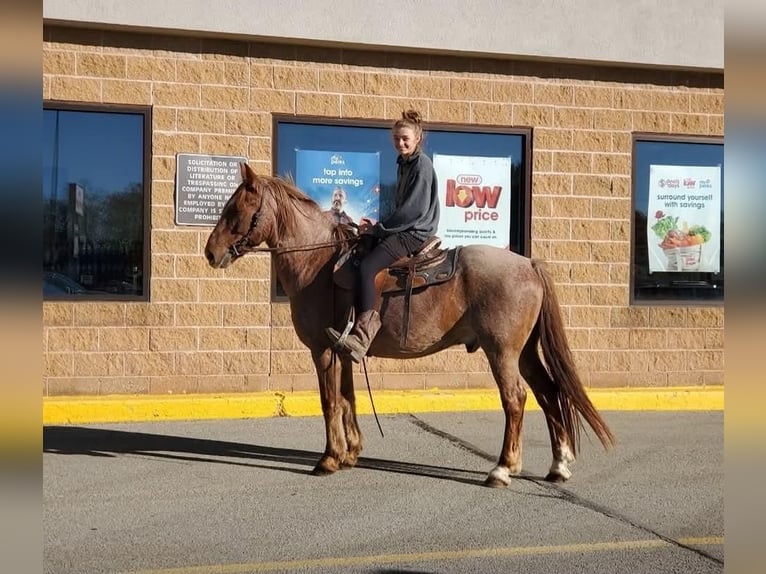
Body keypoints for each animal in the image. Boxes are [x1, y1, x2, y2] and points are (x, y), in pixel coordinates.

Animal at [206, 163, 616, 490]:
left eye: (236, 209)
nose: (211, 252)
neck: (318, 263)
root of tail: (529, 264)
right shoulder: (342, 349)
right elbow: (348, 399)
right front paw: (351, 453)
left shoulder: (322, 351)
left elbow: (329, 401)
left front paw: (329, 459)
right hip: (525, 352)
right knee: (549, 392)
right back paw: (558, 465)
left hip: (502, 351)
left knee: (515, 399)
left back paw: (502, 469)